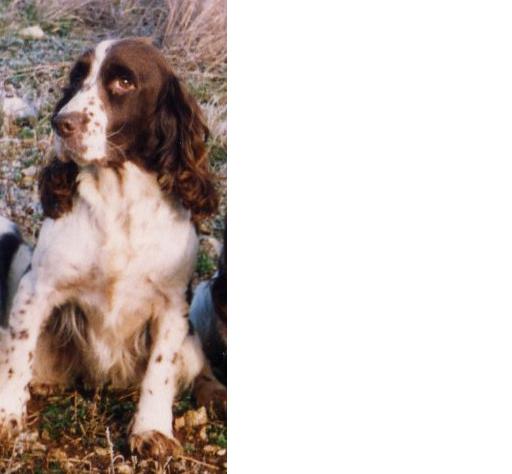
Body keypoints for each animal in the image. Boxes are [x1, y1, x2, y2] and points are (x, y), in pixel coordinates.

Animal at [0, 38, 218, 458]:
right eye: (77, 77)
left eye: (123, 82)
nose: (61, 122)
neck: (118, 199)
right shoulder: (36, 288)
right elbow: (18, 357)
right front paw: (7, 413)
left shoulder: (173, 306)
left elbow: (159, 372)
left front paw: (152, 430)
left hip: (193, 346)